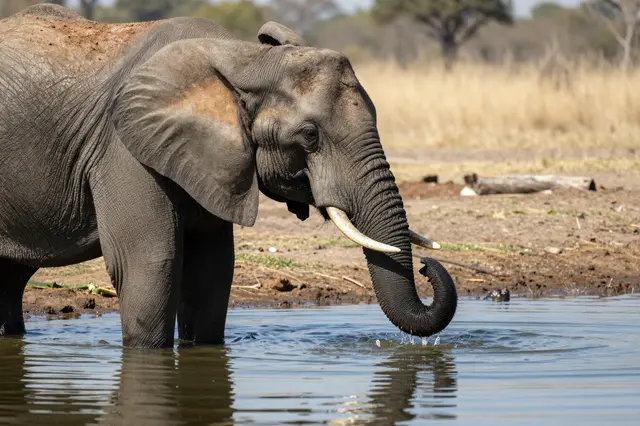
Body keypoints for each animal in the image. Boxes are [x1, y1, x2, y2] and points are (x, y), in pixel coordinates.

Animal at [0, 4, 457, 348]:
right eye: (310, 135)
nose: (426, 267)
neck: (245, 60)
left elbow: (212, 266)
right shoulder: (122, 148)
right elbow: (151, 261)